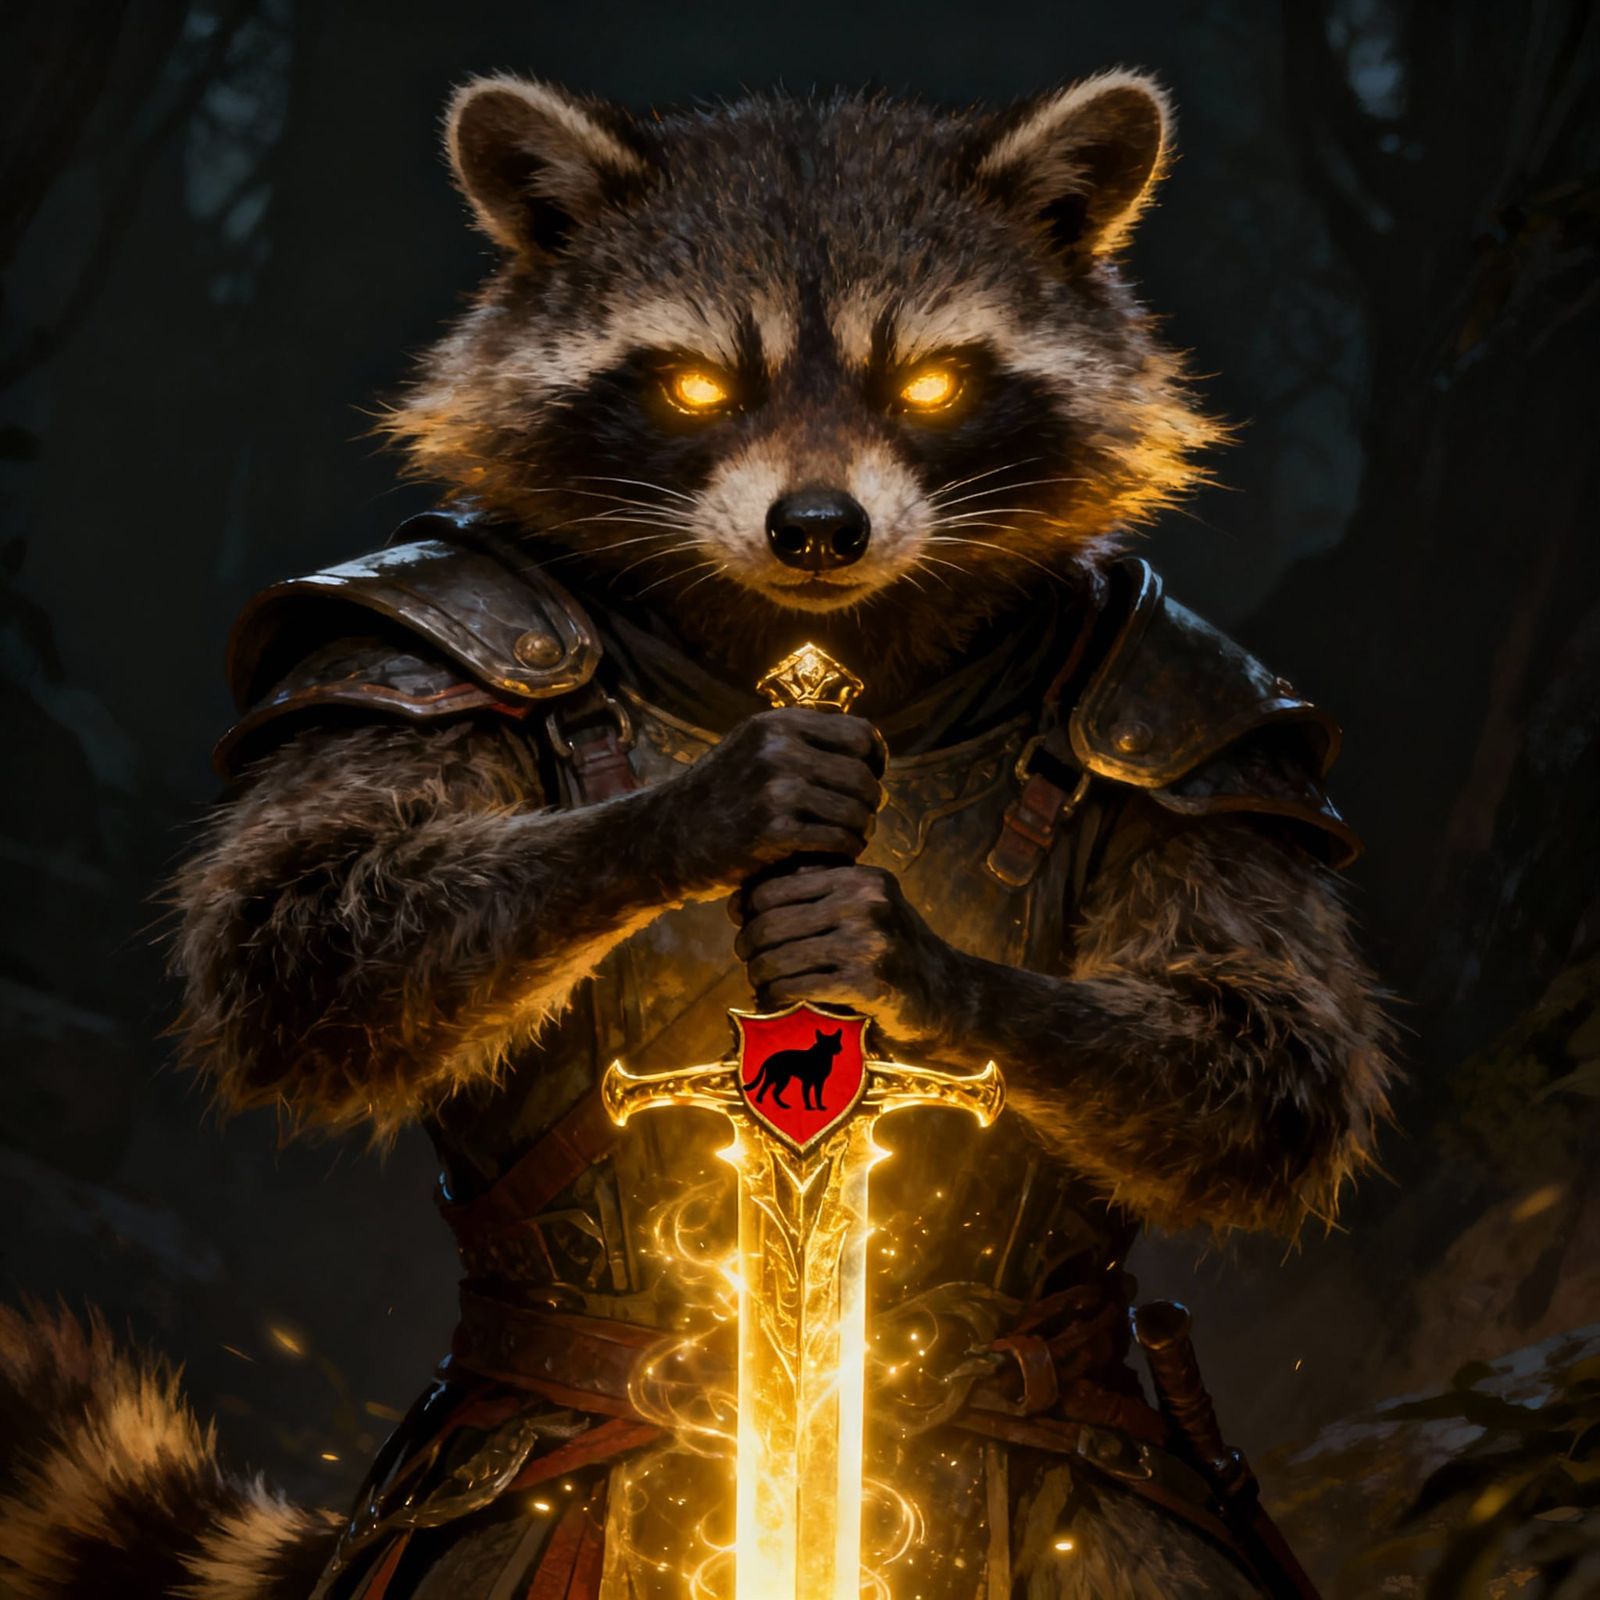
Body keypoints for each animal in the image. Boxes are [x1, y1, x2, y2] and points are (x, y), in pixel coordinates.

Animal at [1, 71, 1392, 1600]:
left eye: (931, 385)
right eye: (694, 386)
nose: (819, 530)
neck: (821, 646)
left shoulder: (1190, 710)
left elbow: (1267, 1051)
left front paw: (906, 956)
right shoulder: (418, 639)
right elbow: (297, 932)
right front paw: (708, 805)